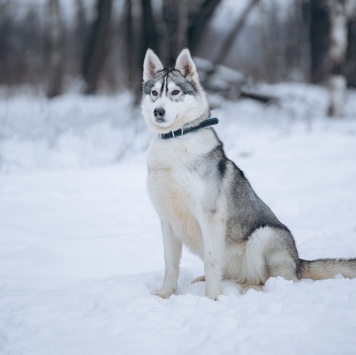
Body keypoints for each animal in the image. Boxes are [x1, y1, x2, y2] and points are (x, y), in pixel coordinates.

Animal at [141, 47, 356, 300]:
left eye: (175, 92)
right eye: (154, 93)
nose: (158, 112)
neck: (175, 141)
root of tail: (297, 262)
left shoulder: (210, 217)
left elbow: (211, 262)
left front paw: (212, 298)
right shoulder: (167, 221)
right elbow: (170, 264)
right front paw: (165, 294)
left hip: (262, 237)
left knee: (276, 280)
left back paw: (251, 290)